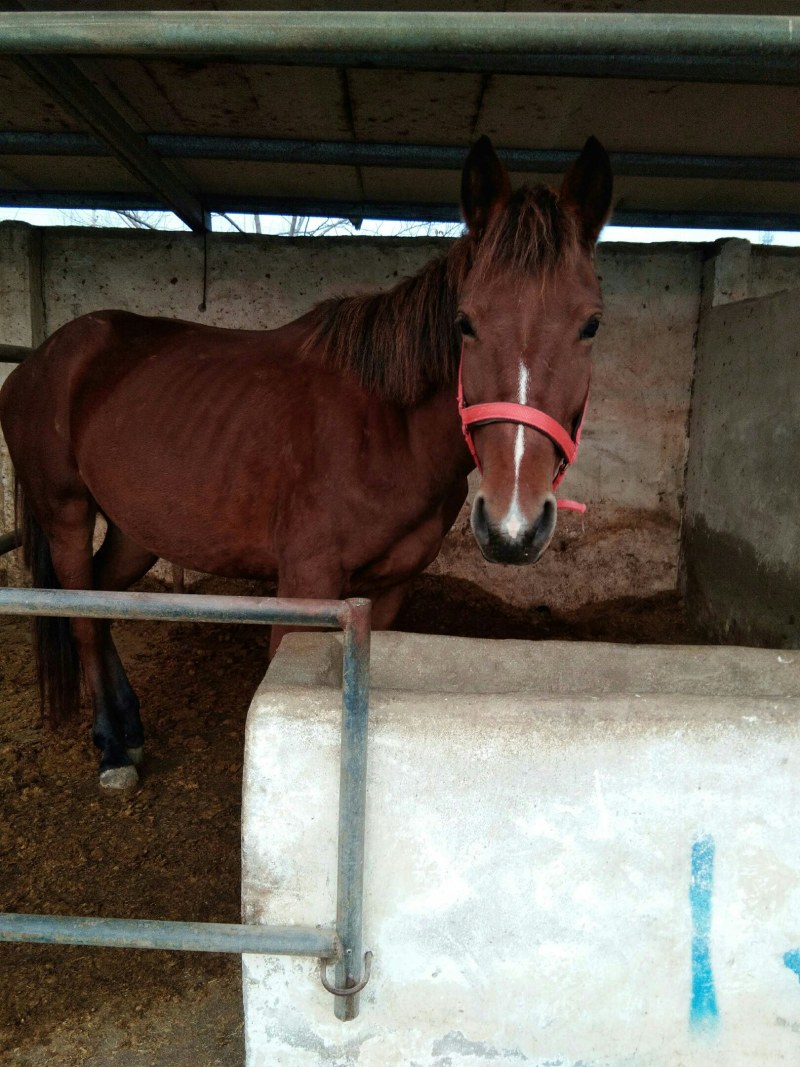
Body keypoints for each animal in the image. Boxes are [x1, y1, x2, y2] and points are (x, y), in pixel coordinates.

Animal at [0, 135, 612, 791]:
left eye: (591, 324)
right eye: (464, 322)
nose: (512, 527)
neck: (384, 425)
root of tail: (39, 360)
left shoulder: (389, 590)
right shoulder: (305, 586)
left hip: (136, 529)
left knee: (103, 602)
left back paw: (129, 730)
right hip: (65, 512)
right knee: (82, 616)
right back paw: (113, 751)